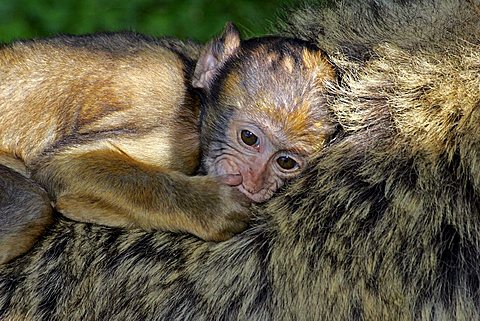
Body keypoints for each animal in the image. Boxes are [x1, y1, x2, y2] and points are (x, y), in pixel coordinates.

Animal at [0, 22, 338, 262]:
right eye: (249, 138)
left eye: (286, 162)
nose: (253, 182)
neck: (196, 104)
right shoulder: (177, 138)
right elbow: (62, 166)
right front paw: (211, 206)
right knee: (33, 206)